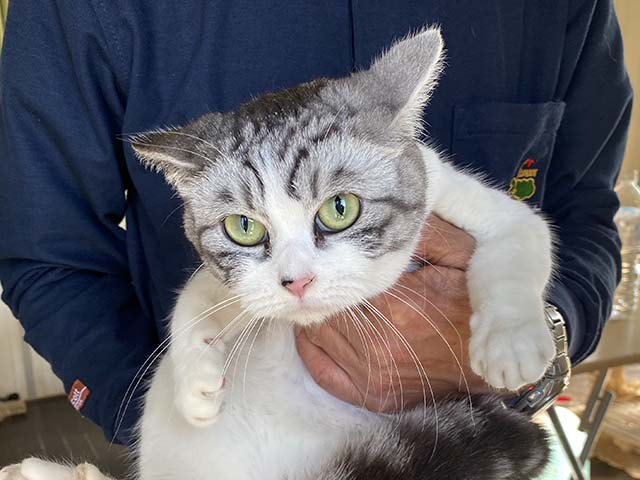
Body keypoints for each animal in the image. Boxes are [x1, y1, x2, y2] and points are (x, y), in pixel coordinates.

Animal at [0, 27, 556, 480]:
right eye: (243, 227)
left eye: (340, 208)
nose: (297, 281)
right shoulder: (234, 282)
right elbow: (194, 297)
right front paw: (194, 381)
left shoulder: (469, 199)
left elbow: (522, 239)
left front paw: (511, 341)